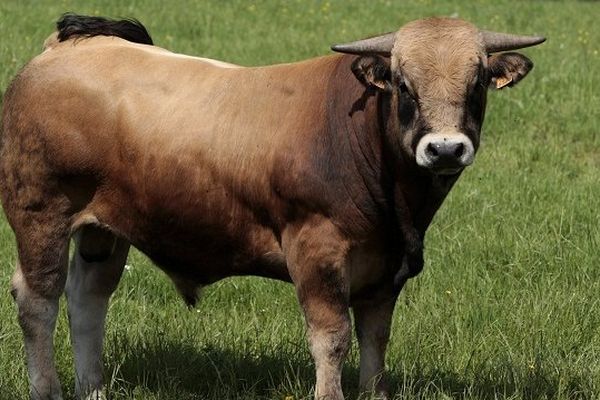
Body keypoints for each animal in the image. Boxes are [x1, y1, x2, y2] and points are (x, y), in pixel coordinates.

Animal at [0, 12, 544, 400]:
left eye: (477, 83)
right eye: (403, 84)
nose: (446, 148)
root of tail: (72, 46)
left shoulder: (384, 268)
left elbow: (375, 338)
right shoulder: (316, 251)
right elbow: (332, 337)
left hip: (105, 230)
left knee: (87, 297)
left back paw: (92, 389)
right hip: (40, 213)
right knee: (38, 300)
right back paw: (47, 390)